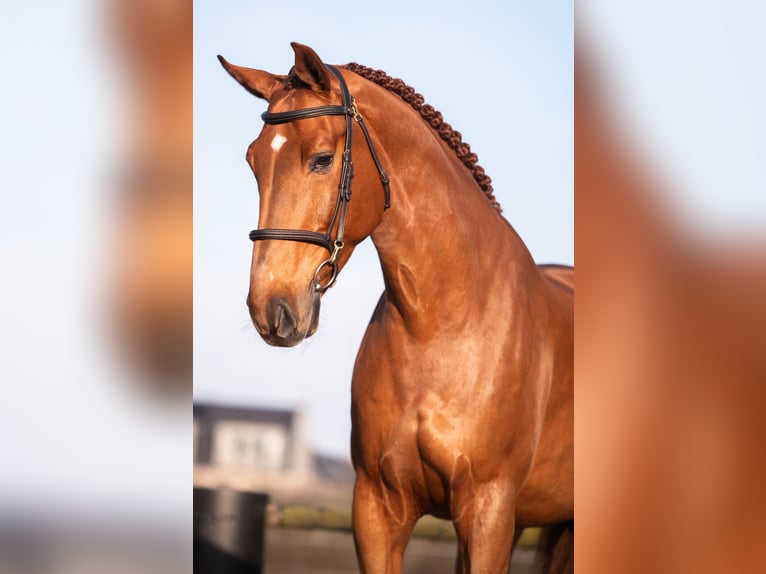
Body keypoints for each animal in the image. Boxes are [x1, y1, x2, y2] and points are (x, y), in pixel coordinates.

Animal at [218, 42, 573, 574]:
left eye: (322, 159)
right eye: (252, 161)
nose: (271, 309)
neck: (443, 325)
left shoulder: (488, 512)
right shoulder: (377, 510)